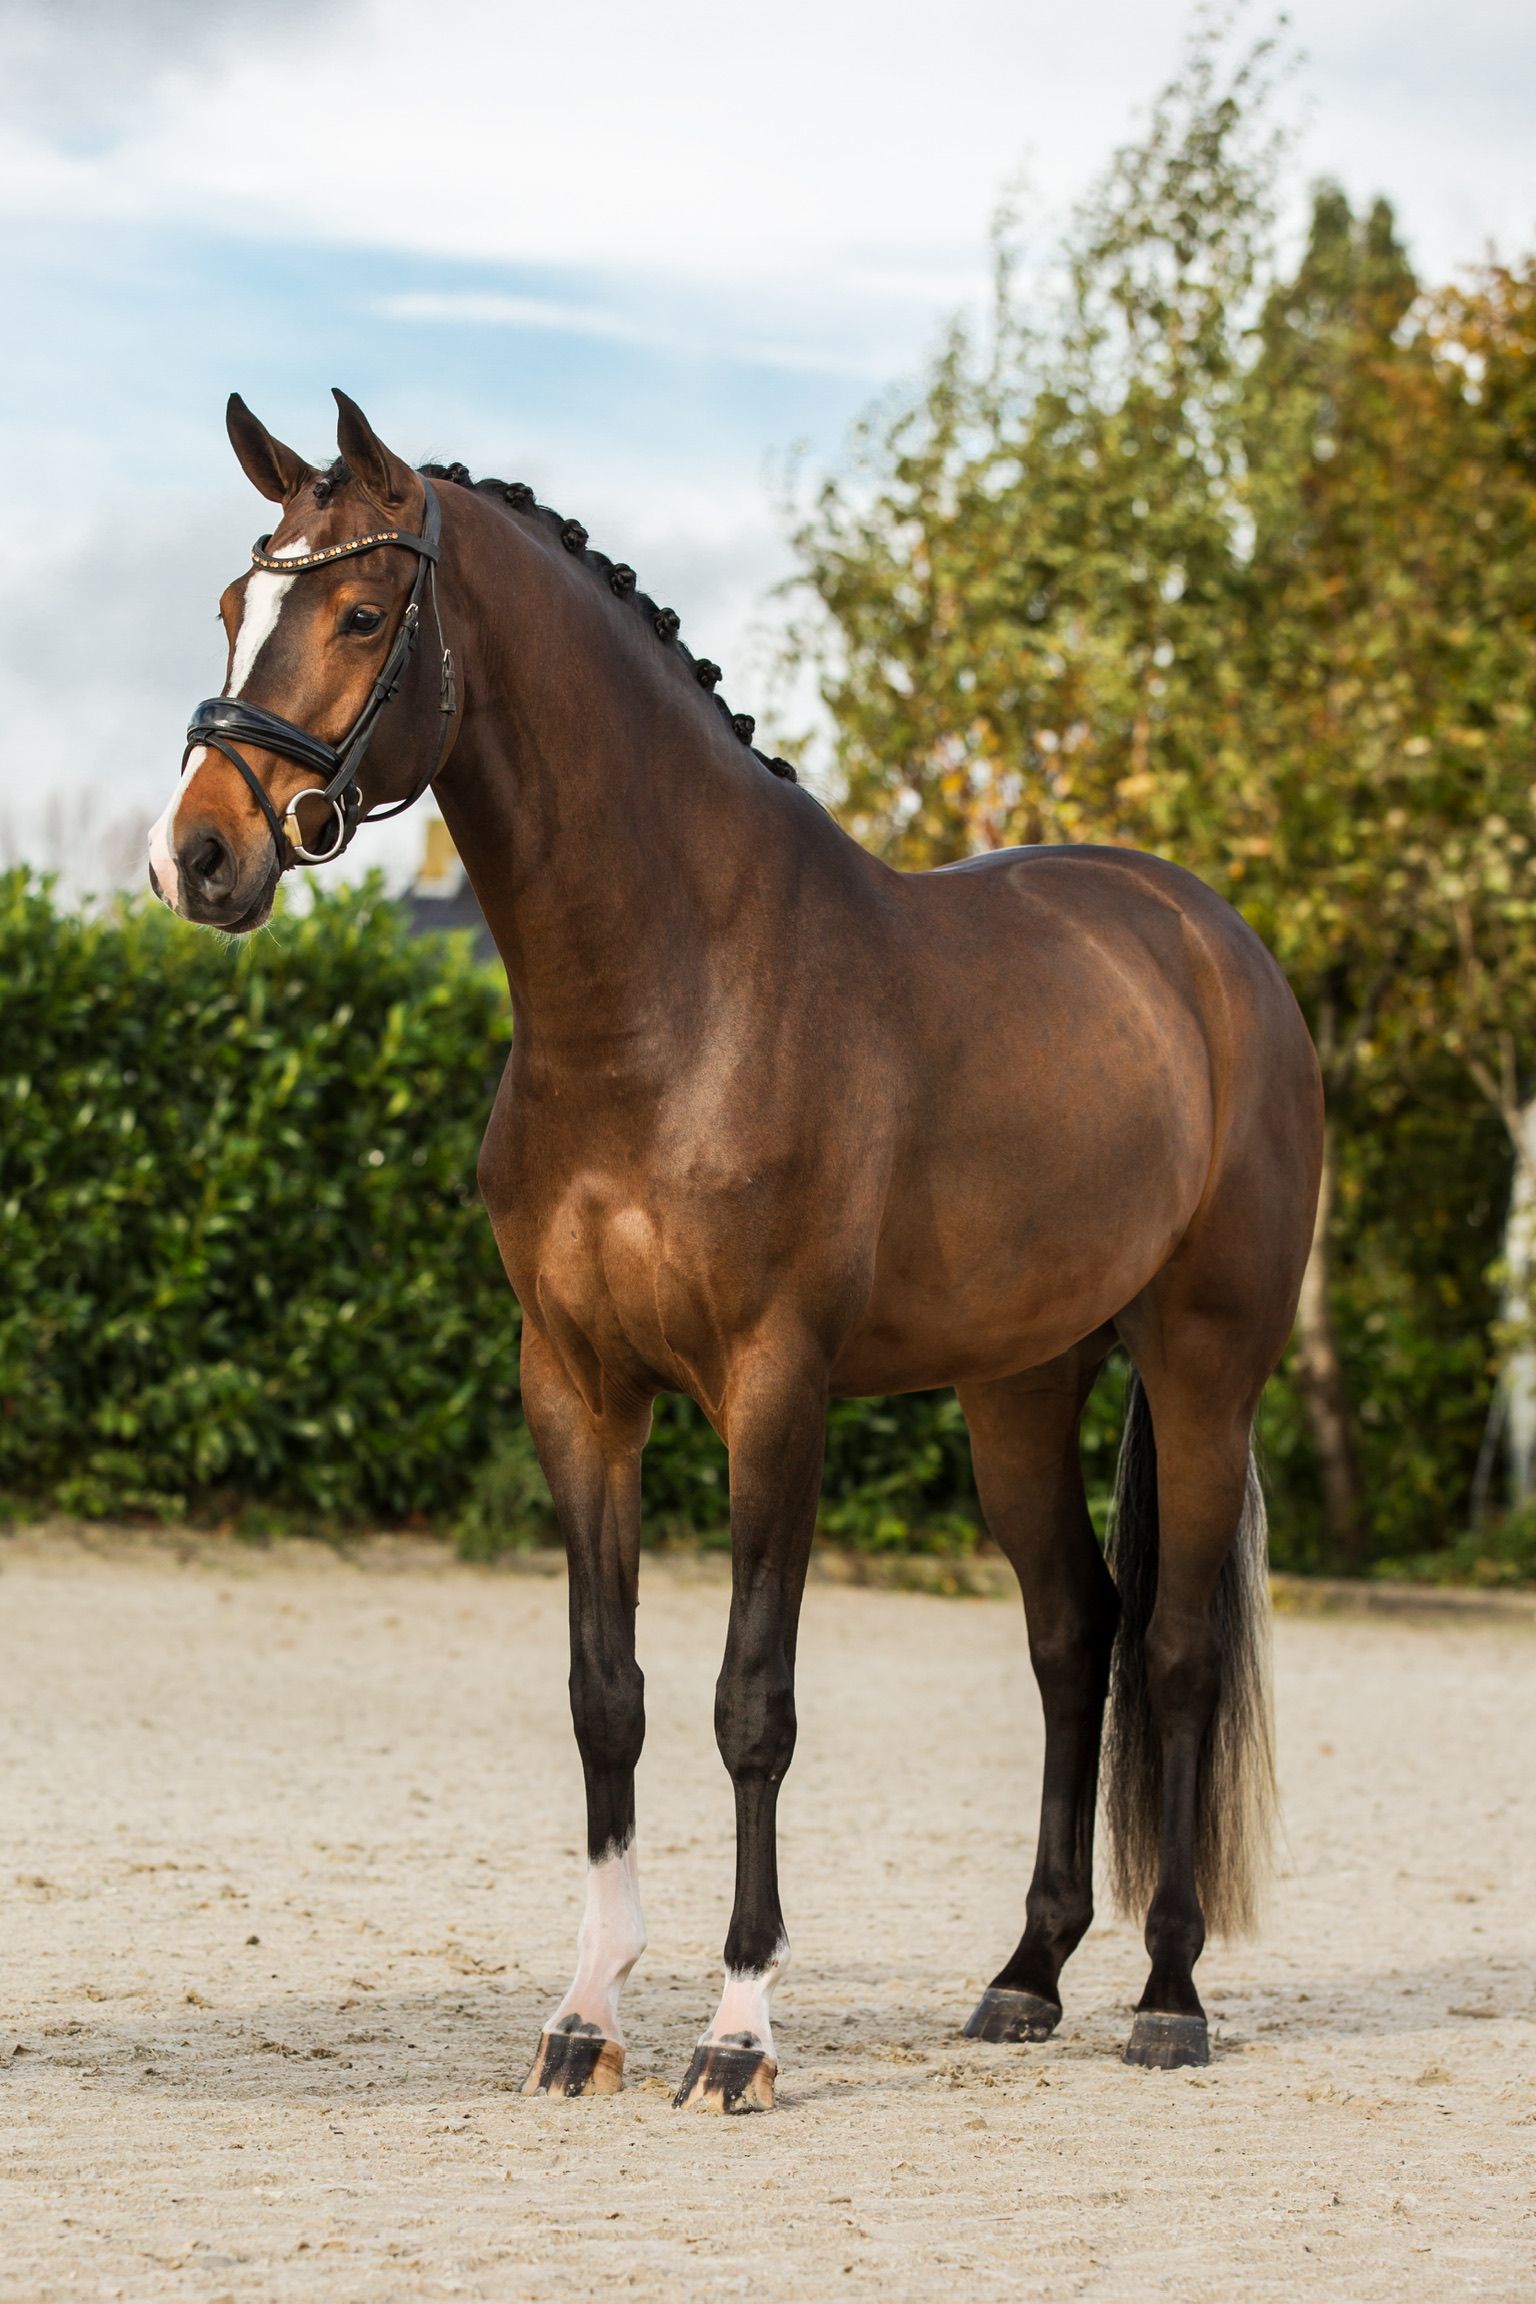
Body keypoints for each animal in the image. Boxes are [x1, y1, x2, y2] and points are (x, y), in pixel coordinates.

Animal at [149, 389, 1322, 2111]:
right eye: (238, 603)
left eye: (362, 614)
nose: (200, 858)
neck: (673, 991)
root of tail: (1212, 946)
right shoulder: (577, 1388)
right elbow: (608, 1699)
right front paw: (585, 2018)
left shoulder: (776, 1388)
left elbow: (750, 1704)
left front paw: (739, 2029)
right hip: (1020, 1390)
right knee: (1072, 1638)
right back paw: (1025, 1977)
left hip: (1203, 1366)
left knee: (1172, 1652)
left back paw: (1169, 1997)